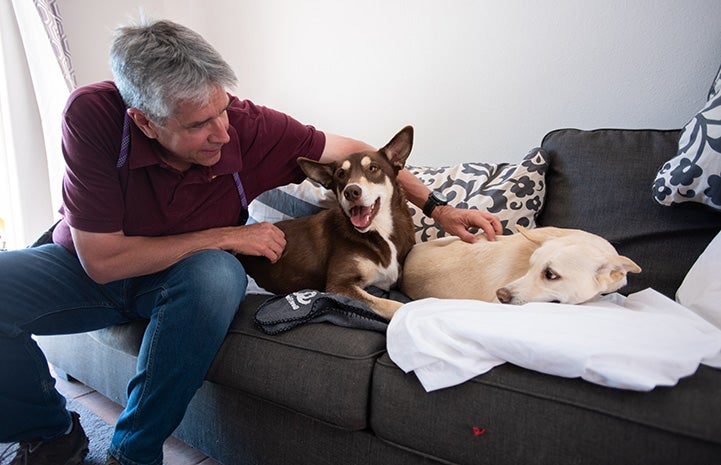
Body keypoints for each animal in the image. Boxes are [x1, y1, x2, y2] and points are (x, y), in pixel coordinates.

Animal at [239, 125, 414, 318]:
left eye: (373, 168)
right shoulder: (338, 284)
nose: (351, 192)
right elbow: (391, 304)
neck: (379, 231)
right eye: (341, 174)